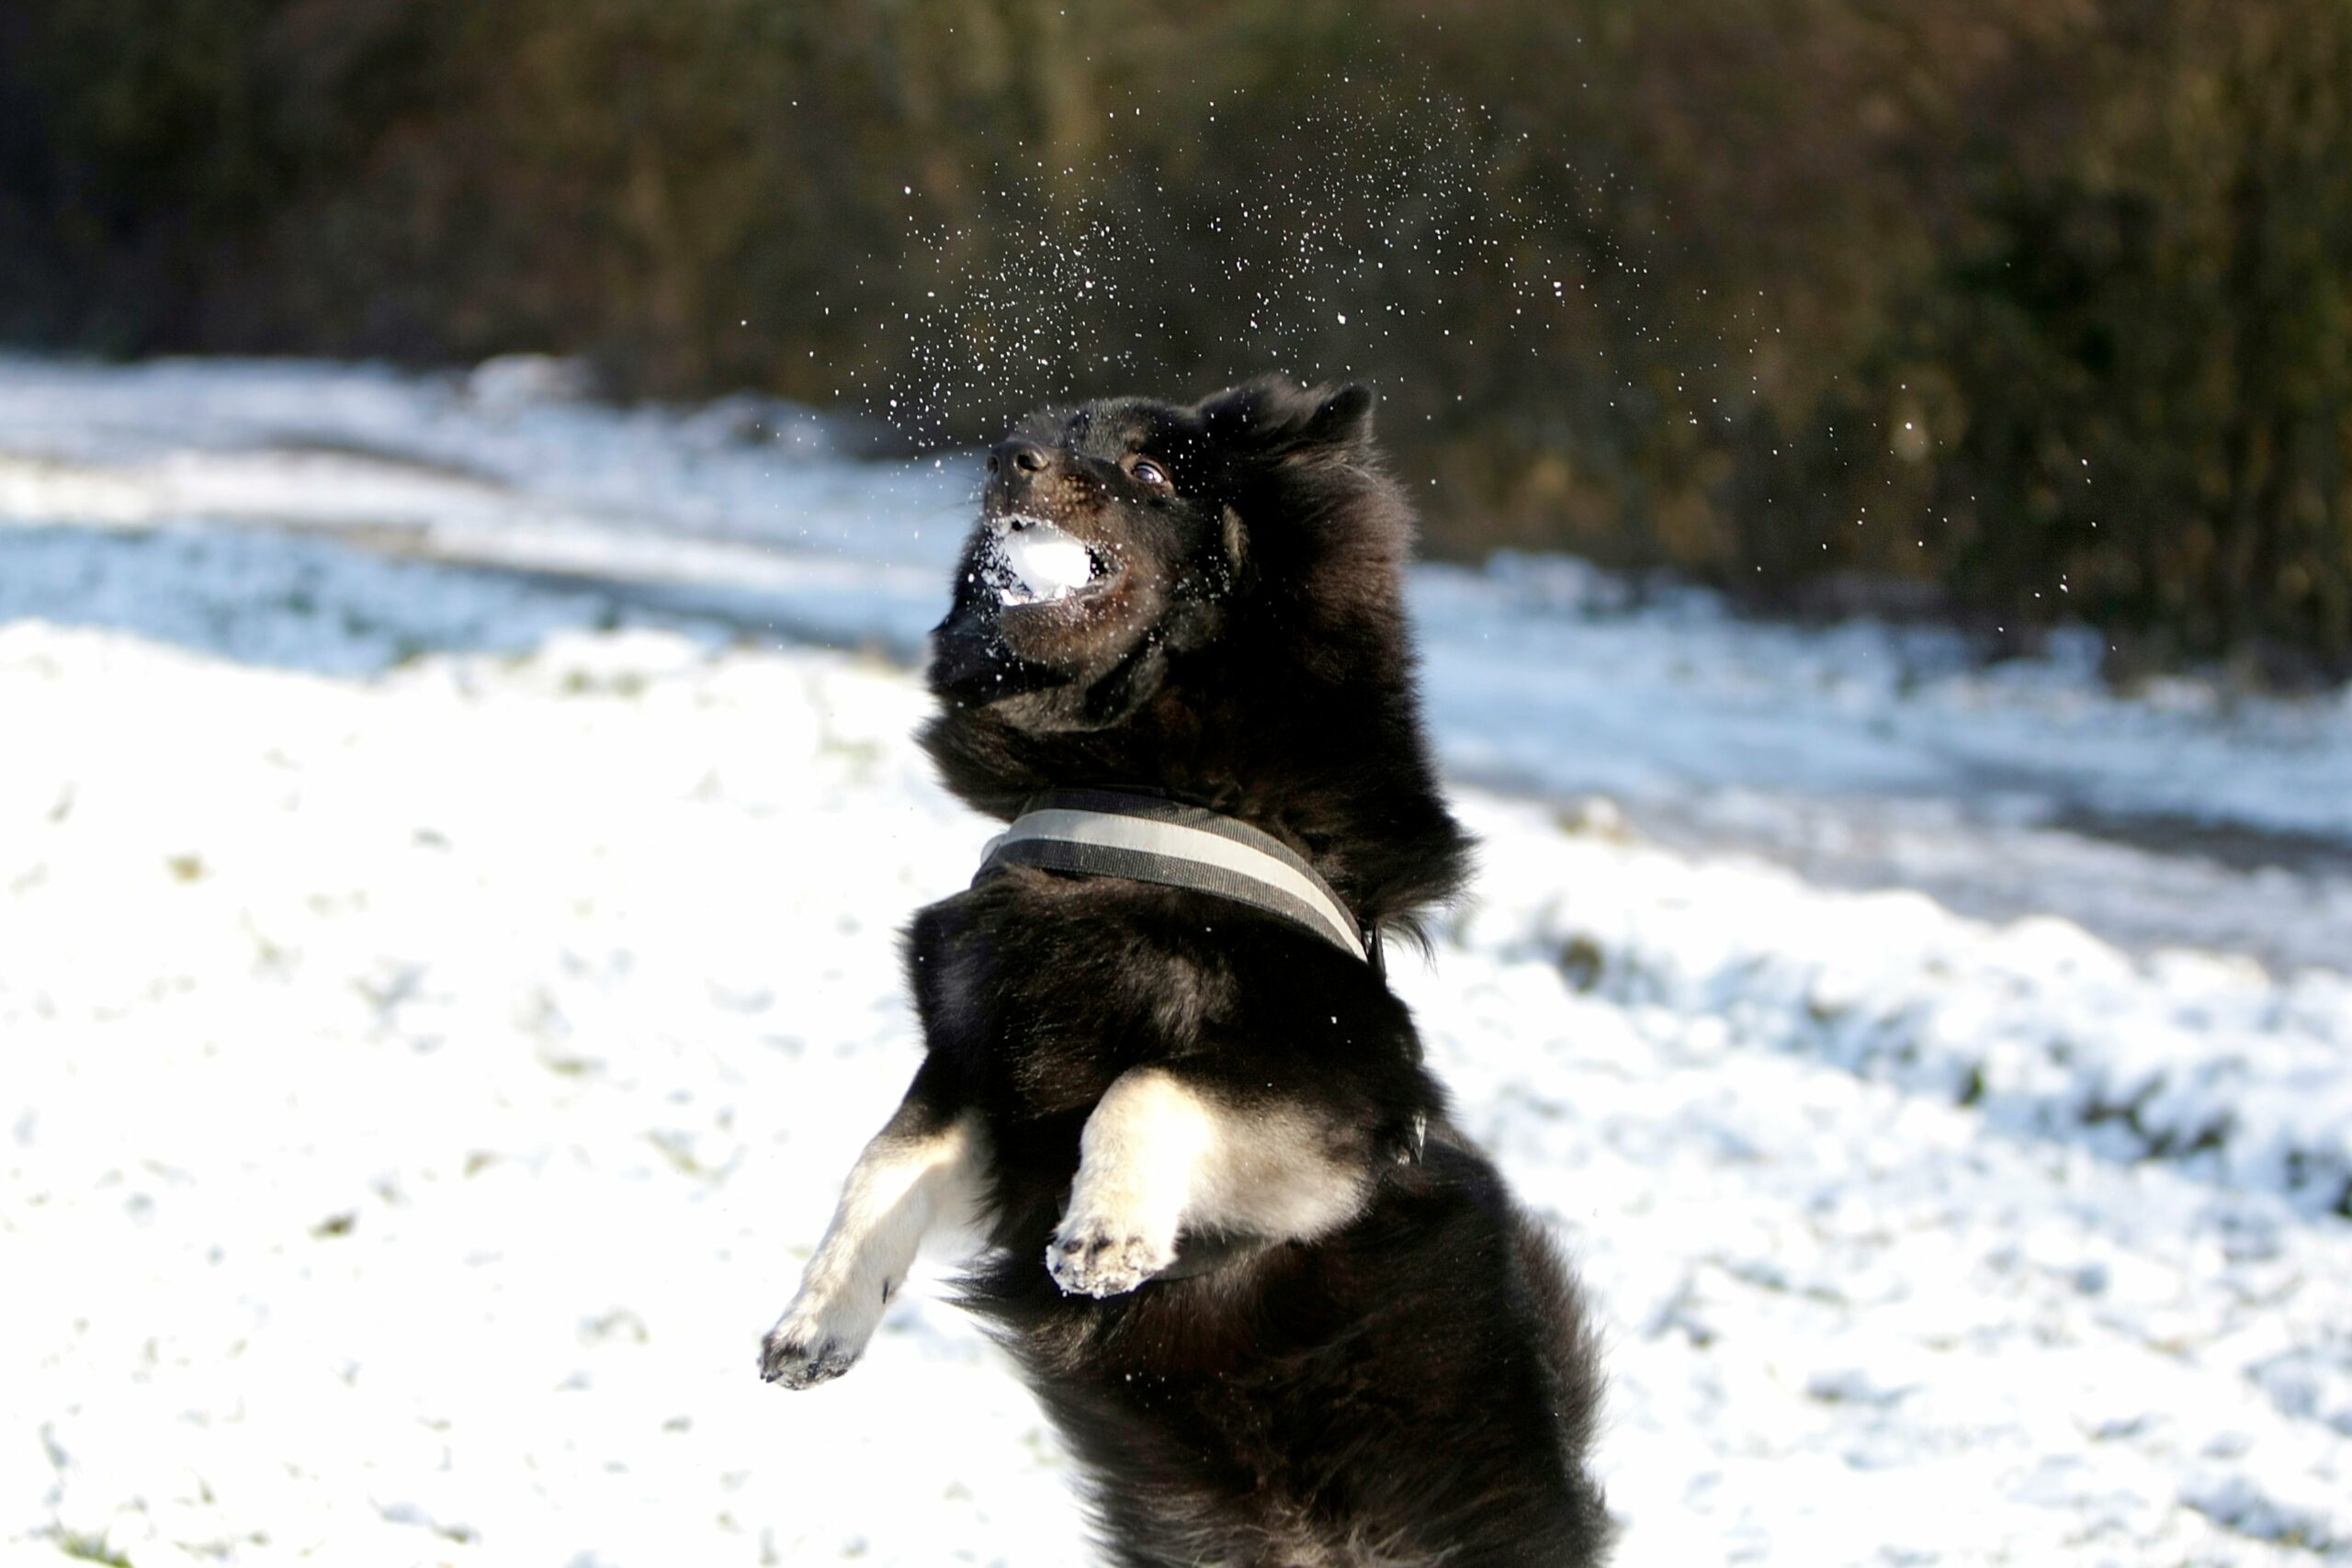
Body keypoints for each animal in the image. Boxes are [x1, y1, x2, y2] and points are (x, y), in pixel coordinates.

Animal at [762, 383, 1609, 1568]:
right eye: (1052, 435)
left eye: (1150, 474)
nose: (1008, 456)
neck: (1138, 794)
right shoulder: (979, 1055)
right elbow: (881, 1168)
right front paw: (816, 1318)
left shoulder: (1332, 1091)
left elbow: (1149, 1082)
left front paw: (1107, 1232)